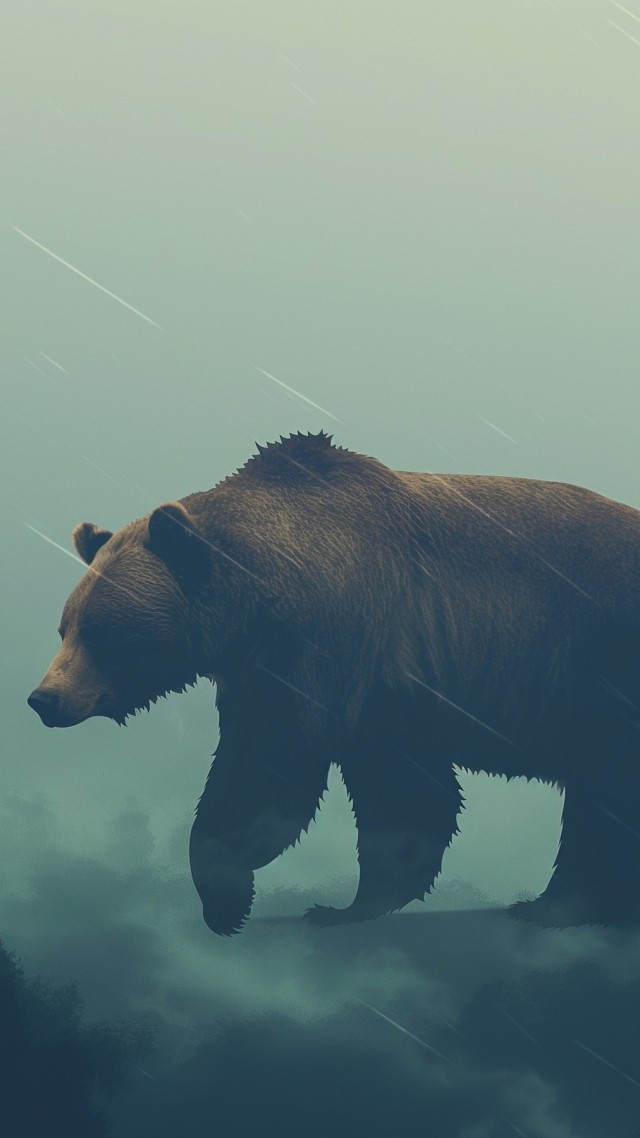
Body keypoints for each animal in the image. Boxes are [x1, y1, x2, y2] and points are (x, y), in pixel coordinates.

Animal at [27, 431, 640, 935]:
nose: (43, 698)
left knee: (605, 788)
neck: (258, 594)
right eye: (64, 627)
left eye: (101, 631)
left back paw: (555, 906)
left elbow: (271, 764)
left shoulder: (329, 636)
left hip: (602, 662)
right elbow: (403, 793)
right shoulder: (381, 692)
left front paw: (226, 899)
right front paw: (351, 905)